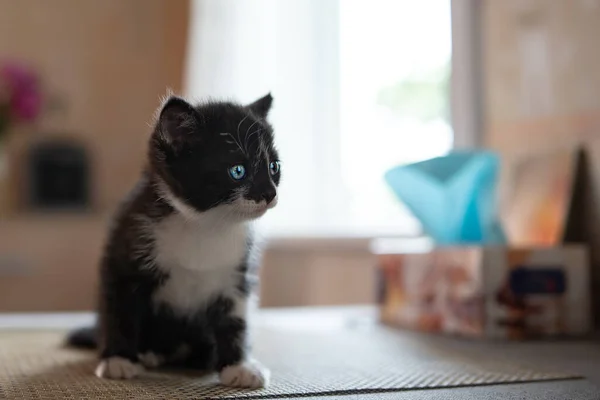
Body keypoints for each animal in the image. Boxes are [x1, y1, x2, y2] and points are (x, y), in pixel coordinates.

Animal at [67, 93, 278, 388]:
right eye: (238, 171)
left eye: (274, 167)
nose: (270, 193)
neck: (207, 225)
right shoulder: (125, 252)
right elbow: (121, 309)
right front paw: (118, 359)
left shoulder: (237, 274)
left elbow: (236, 319)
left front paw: (239, 366)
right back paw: (148, 354)